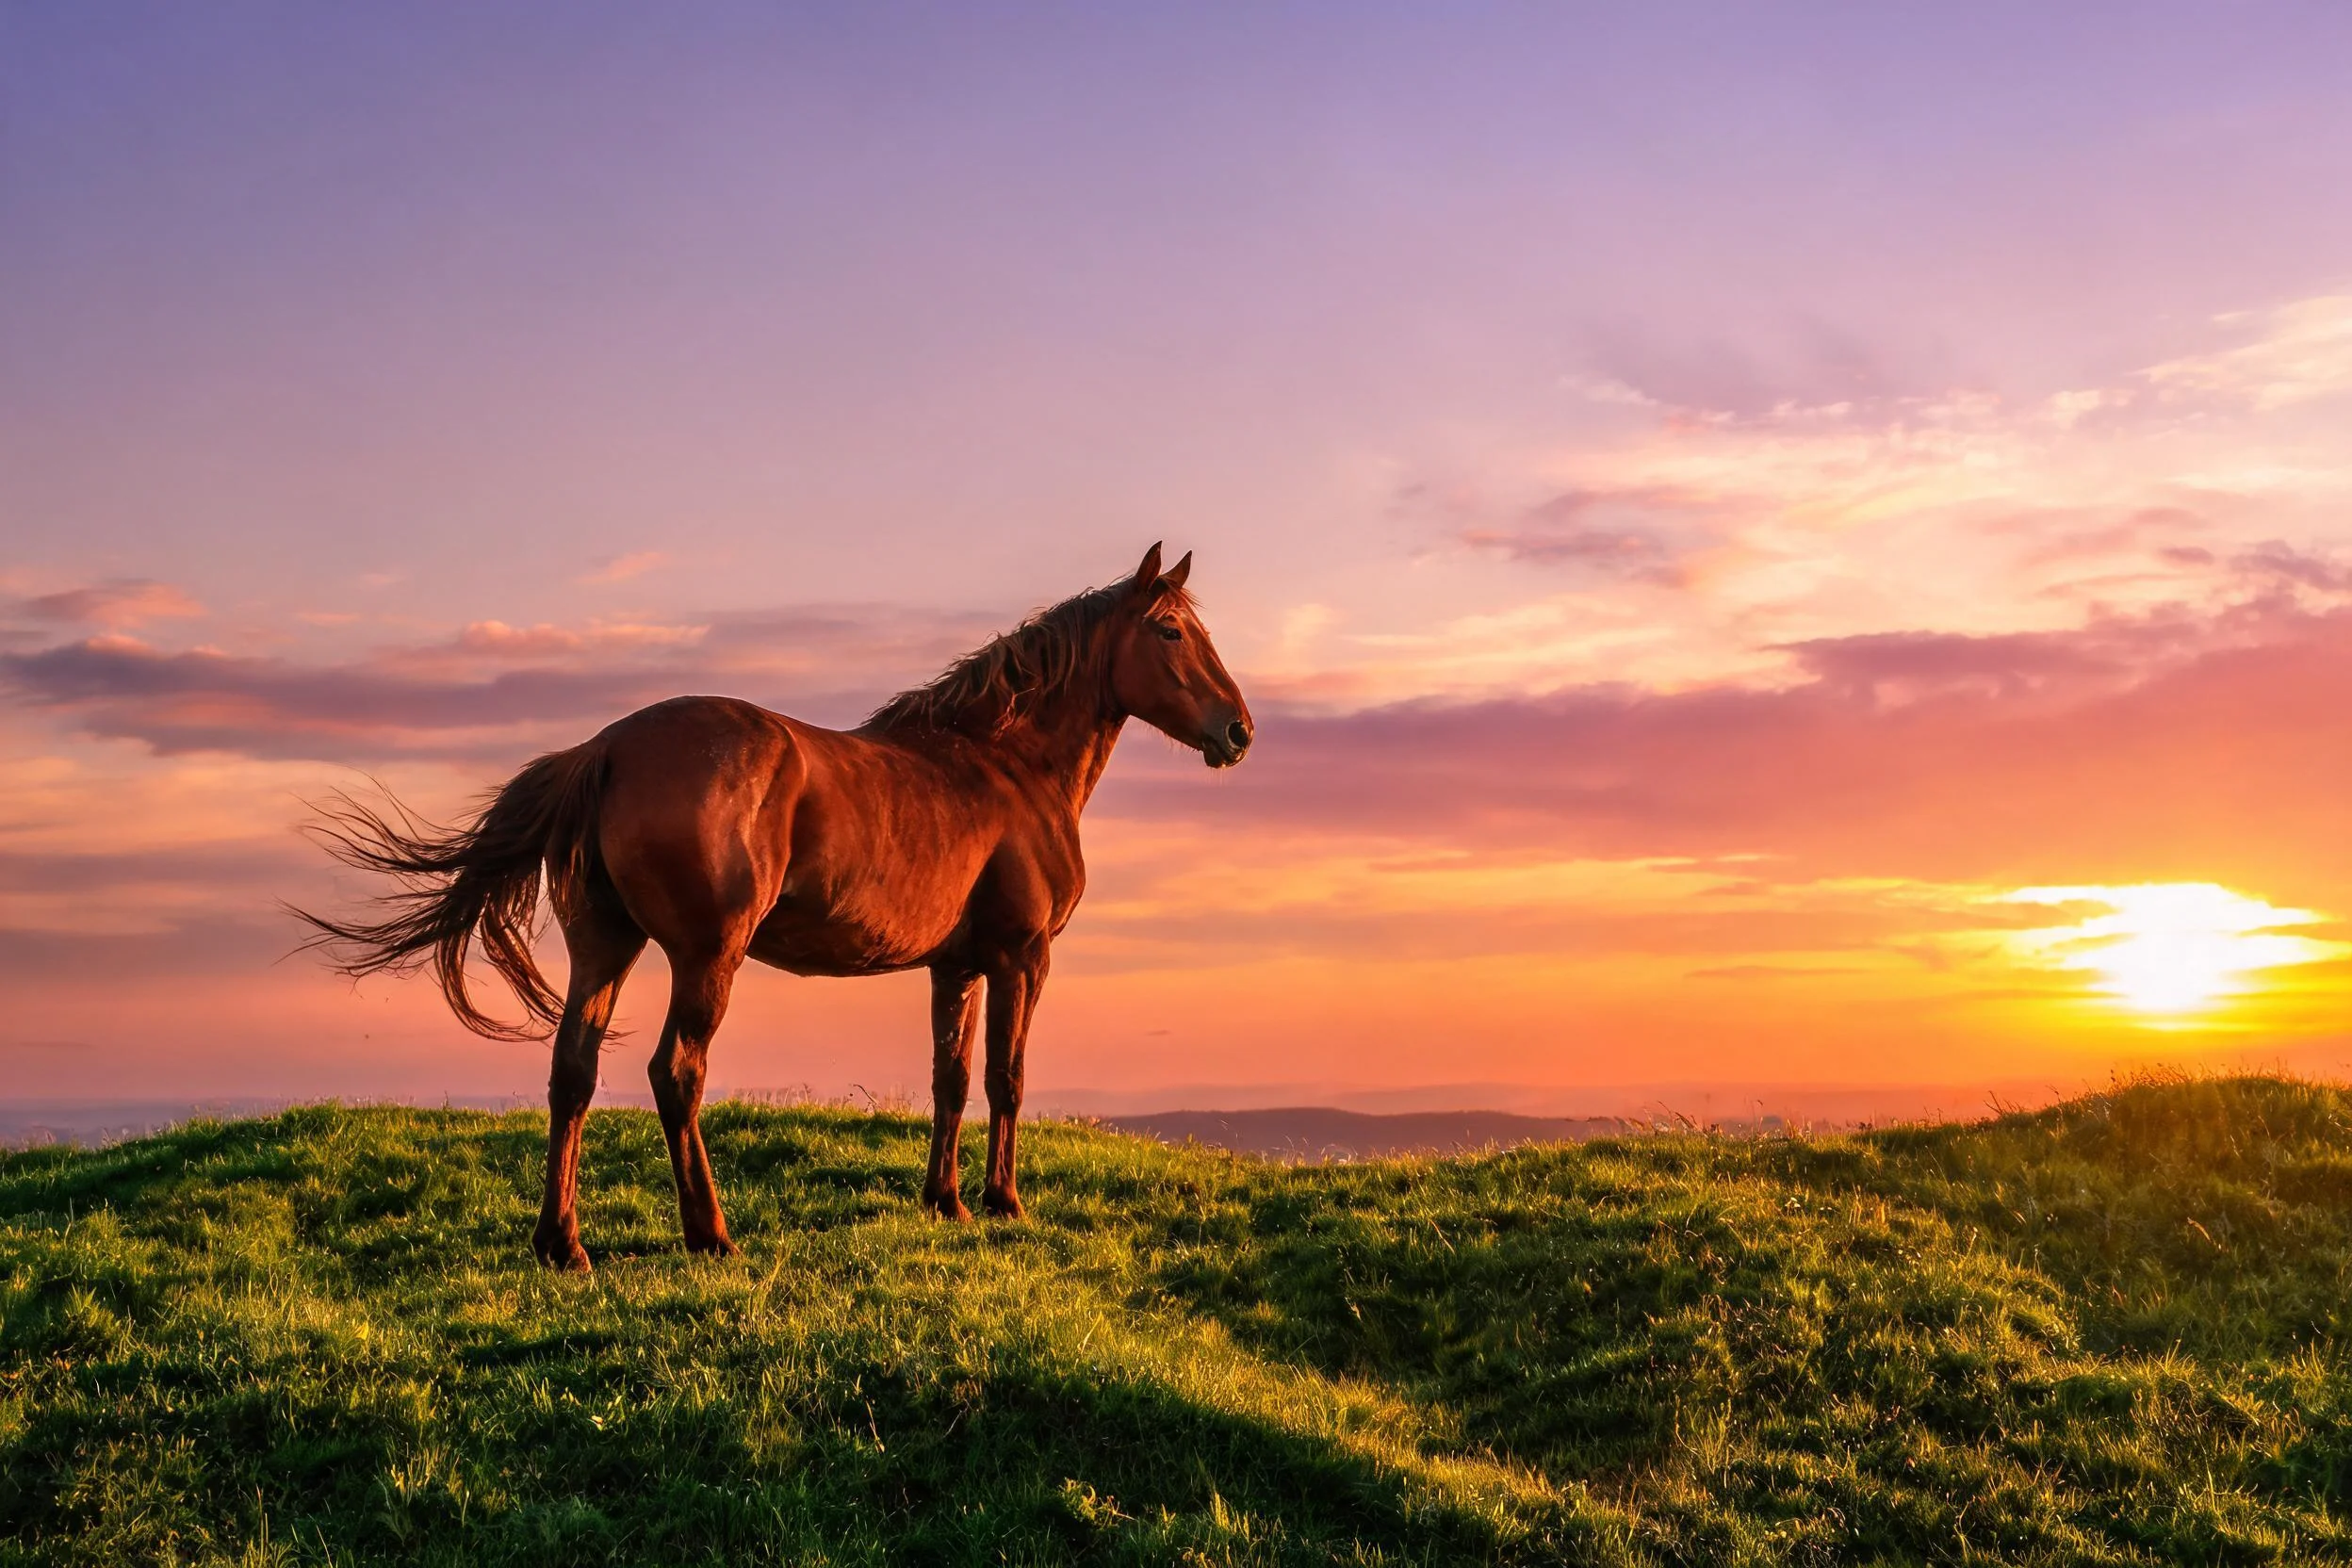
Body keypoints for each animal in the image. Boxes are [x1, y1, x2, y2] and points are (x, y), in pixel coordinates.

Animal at [294, 544, 1251, 1270]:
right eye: (1170, 630)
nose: (1238, 730)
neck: (1004, 765)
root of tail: (607, 748)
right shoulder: (1022, 957)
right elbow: (1005, 1079)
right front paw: (1004, 1201)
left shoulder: (956, 968)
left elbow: (949, 1079)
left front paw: (945, 1202)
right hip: (705, 959)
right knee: (675, 1074)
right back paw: (711, 1235)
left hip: (604, 950)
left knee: (573, 1075)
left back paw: (563, 1245)